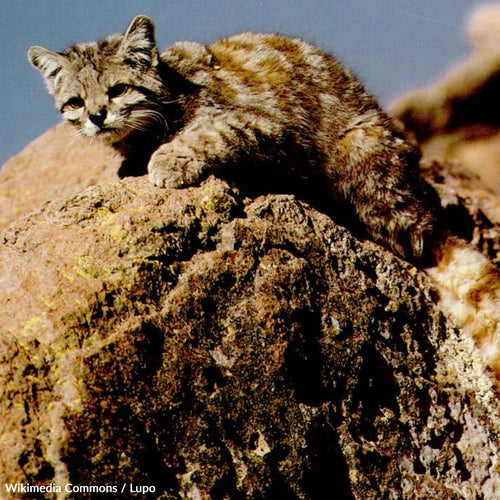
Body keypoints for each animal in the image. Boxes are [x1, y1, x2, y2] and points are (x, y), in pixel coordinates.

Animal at [28, 14, 500, 382]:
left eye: (119, 89)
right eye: (75, 101)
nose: (96, 116)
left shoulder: (263, 125)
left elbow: (206, 133)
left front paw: (168, 161)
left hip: (370, 175)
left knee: (424, 241)